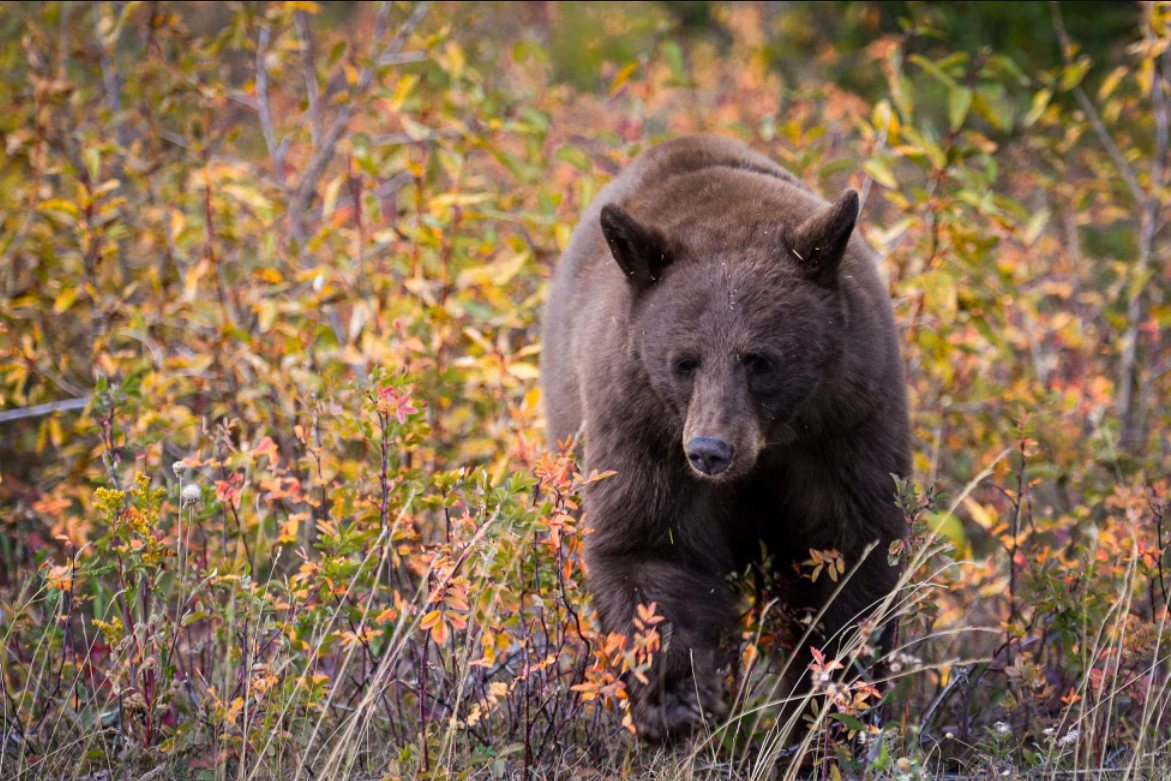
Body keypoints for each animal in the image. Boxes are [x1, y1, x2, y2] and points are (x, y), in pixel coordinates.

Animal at [538, 134, 913, 744]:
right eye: (683, 362)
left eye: (760, 360)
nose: (710, 451)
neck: (766, 451)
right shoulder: (642, 425)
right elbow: (650, 547)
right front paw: (677, 703)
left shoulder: (847, 419)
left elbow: (849, 556)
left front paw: (827, 711)